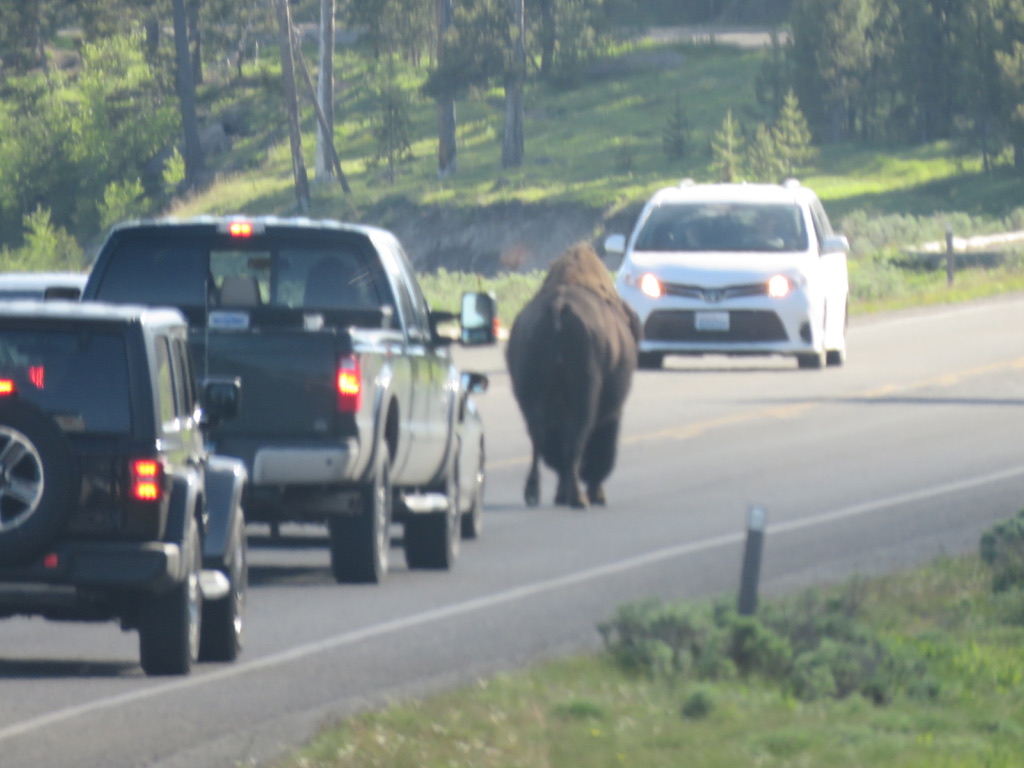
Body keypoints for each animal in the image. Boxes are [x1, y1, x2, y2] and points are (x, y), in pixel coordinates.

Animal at [505, 242, 642, 509]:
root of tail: (557, 309)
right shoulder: (612, 413)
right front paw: (595, 492)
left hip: (531, 399)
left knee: (541, 443)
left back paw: (535, 493)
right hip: (584, 399)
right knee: (575, 442)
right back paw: (579, 498)